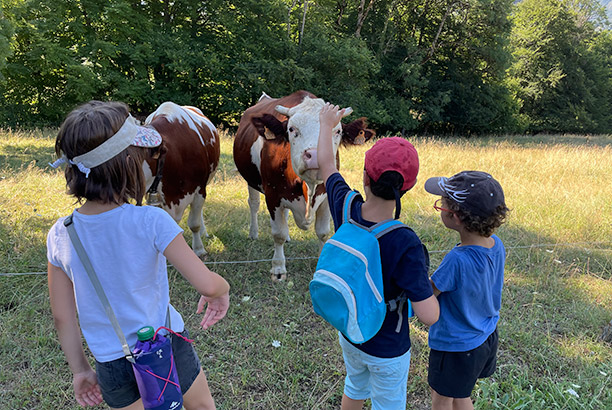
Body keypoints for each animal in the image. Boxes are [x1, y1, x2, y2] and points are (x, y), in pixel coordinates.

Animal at [234, 91, 376, 280]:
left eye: (337, 131)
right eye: (292, 129)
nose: (315, 156)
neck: (308, 188)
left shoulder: (326, 198)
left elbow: (323, 232)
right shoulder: (273, 196)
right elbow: (278, 234)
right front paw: (278, 269)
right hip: (250, 180)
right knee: (254, 204)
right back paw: (253, 233)